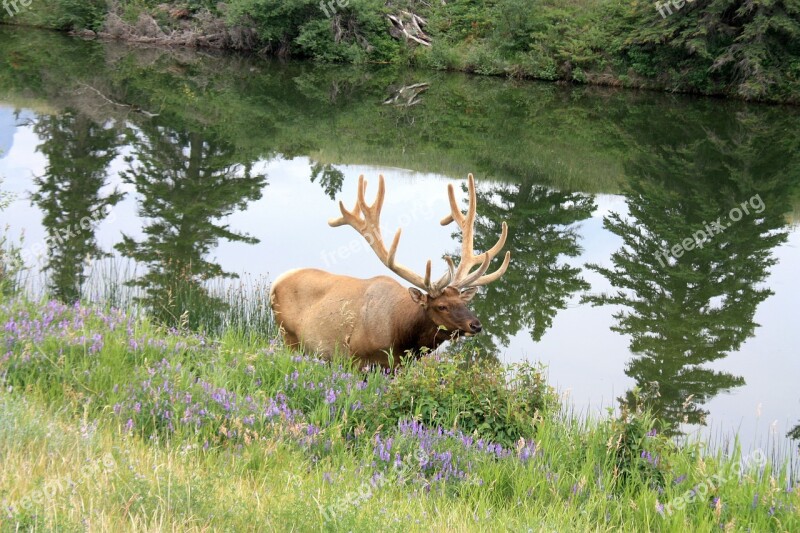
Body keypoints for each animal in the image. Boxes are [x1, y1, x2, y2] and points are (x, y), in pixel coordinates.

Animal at [268, 175, 506, 366]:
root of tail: (276, 283)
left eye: (464, 302)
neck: (401, 337)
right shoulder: (357, 359)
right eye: (442, 306)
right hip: (288, 337)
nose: (475, 325)